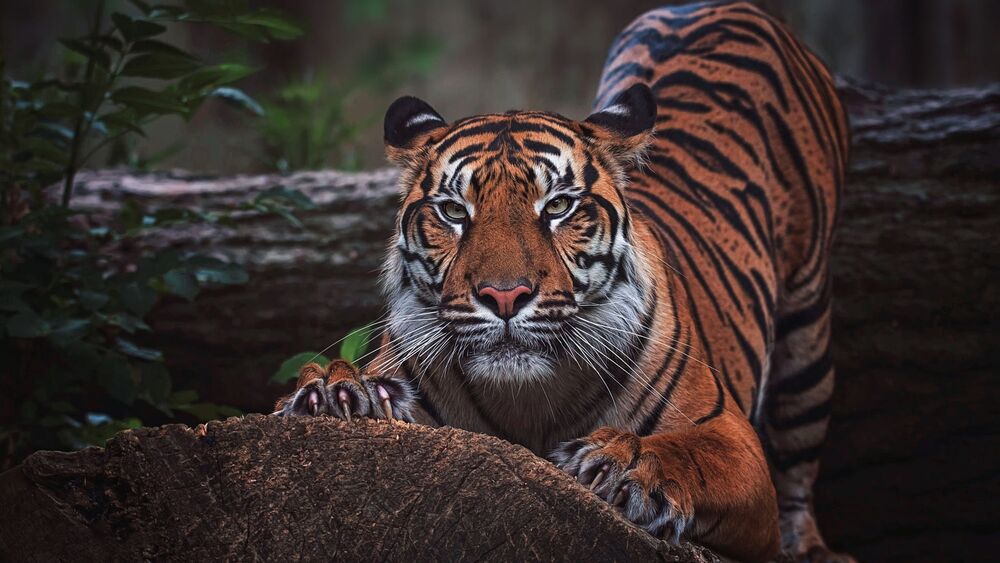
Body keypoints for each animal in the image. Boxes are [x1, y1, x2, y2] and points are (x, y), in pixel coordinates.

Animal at [275, 1, 850, 561]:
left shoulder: (733, 439)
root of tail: (719, 7)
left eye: (557, 207)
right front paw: (337, 392)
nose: (504, 295)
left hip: (807, 337)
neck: (527, 399)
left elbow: (691, 452)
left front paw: (629, 461)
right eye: (454, 211)